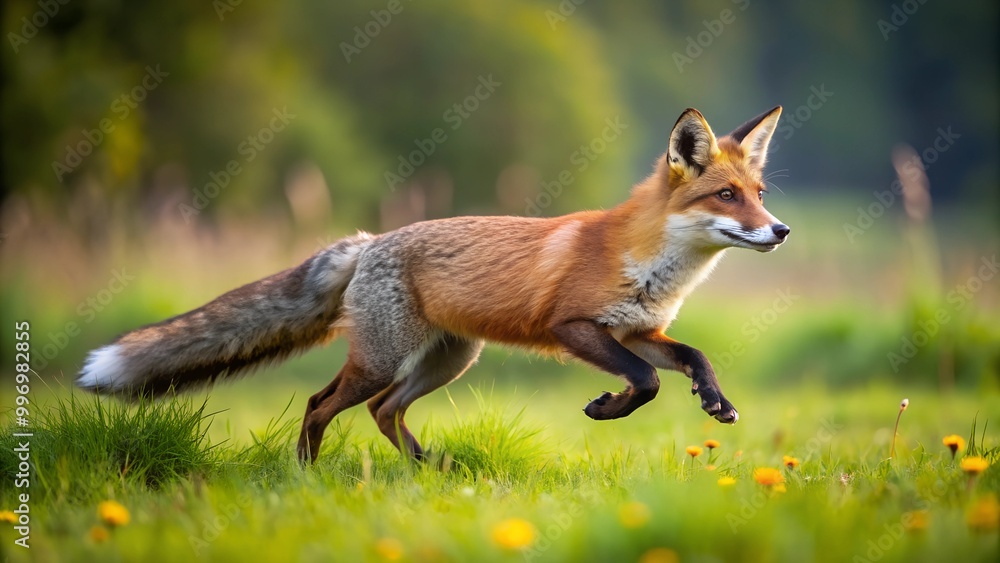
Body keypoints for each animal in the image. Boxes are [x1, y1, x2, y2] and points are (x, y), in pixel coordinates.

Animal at [77, 106, 790, 463]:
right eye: (726, 197)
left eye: (758, 194)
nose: (780, 231)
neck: (651, 266)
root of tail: (369, 241)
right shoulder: (576, 328)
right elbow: (643, 383)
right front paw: (606, 407)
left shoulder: (640, 330)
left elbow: (692, 356)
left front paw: (714, 400)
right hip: (384, 357)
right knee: (321, 404)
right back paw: (305, 475)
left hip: (448, 361)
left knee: (382, 411)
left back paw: (425, 469)